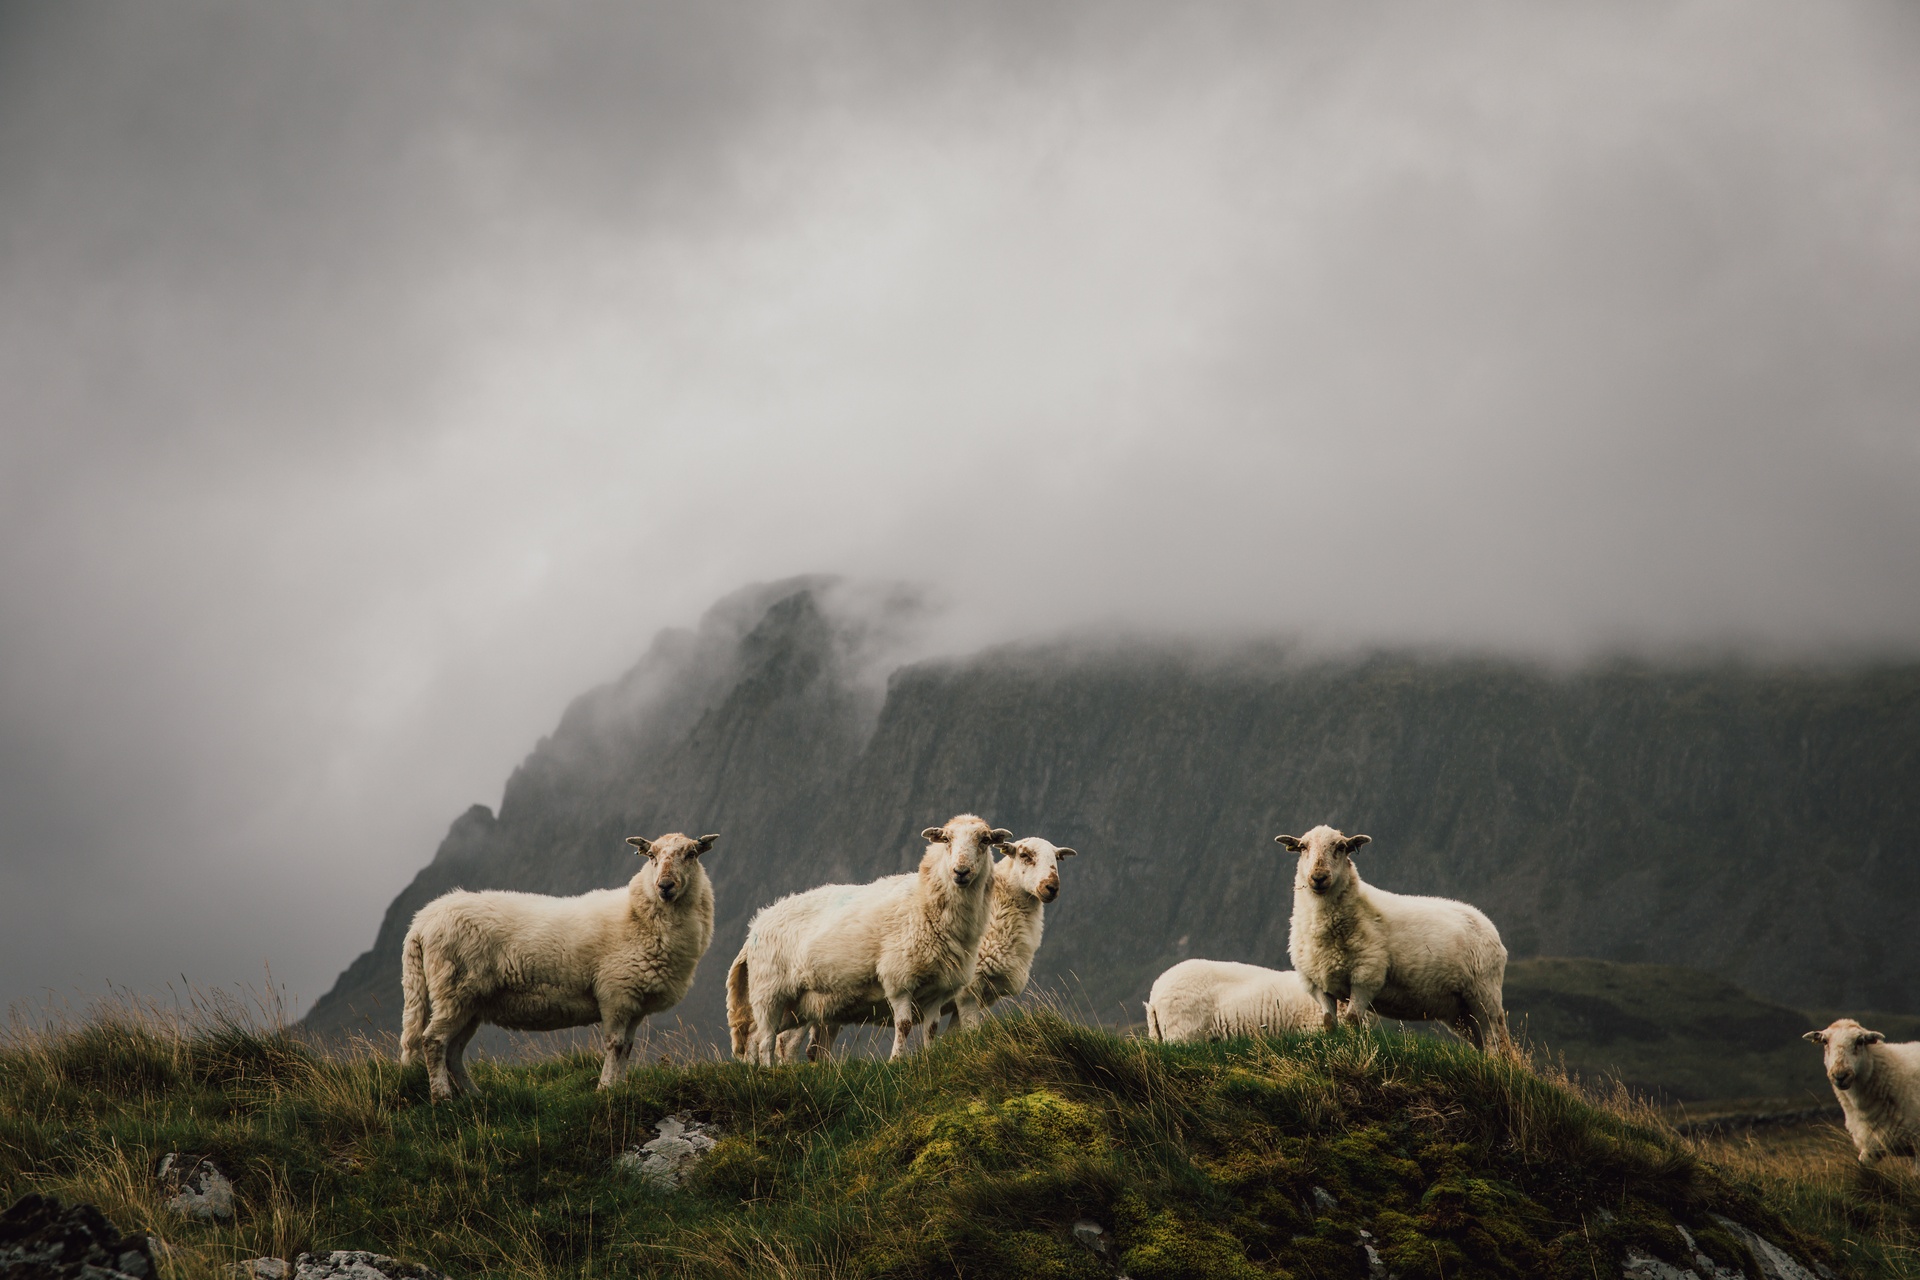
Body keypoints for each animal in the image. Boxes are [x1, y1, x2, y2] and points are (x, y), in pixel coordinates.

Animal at [397, 832, 721, 1105]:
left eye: (691, 854)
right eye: (651, 855)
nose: (665, 886)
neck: (638, 916)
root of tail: (421, 922)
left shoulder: (635, 1003)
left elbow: (627, 1048)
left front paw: (619, 1089)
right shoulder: (615, 993)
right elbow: (615, 1045)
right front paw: (605, 1090)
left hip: (471, 1001)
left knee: (453, 1051)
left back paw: (474, 1095)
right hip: (453, 989)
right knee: (433, 1041)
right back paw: (442, 1098)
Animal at [725, 817, 1013, 1066]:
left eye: (985, 840)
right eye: (946, 839)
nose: (960, 871)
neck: (922, 901)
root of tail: (756, 926)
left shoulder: (939, 988)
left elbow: (931, 1029)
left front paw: (929, 1058)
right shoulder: (898, 979)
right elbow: (904, 1025)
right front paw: (896, 1061)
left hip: (796, 1005)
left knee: (756, 1036)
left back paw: (756, 1073)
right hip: (769, 992)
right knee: (765, 1039)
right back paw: (767, 1071)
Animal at [1274, 825, 1512, 1059]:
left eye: (1341, 847)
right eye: (1303, 847)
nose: (1319, 877)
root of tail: (1485, 920)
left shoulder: (1366, 977)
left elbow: (1352, 1021)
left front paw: (1353, 1047)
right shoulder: (1318, 984)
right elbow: (1329, 1023)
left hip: (1484, 992)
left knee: (1493, 1037)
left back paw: (1493, 1062)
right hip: (1459, 1009)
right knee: (1480, 1039)